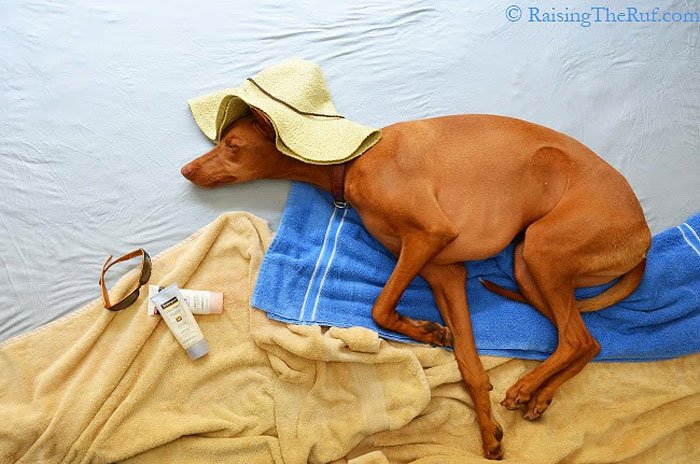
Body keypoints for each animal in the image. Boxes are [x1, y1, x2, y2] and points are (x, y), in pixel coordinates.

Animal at [180, 109, 652, 460]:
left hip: (542, 250)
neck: (356, 157)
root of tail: (644, 235)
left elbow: (379, 307)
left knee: (574, 338)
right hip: (526, 263)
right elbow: (470, 367)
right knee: (589, 341)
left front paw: (425, 331)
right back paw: (541, 395)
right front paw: (488, 432)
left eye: (232, 145)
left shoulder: (428, 236)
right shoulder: (446, 273)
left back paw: (525, 388)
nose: (185, 169)